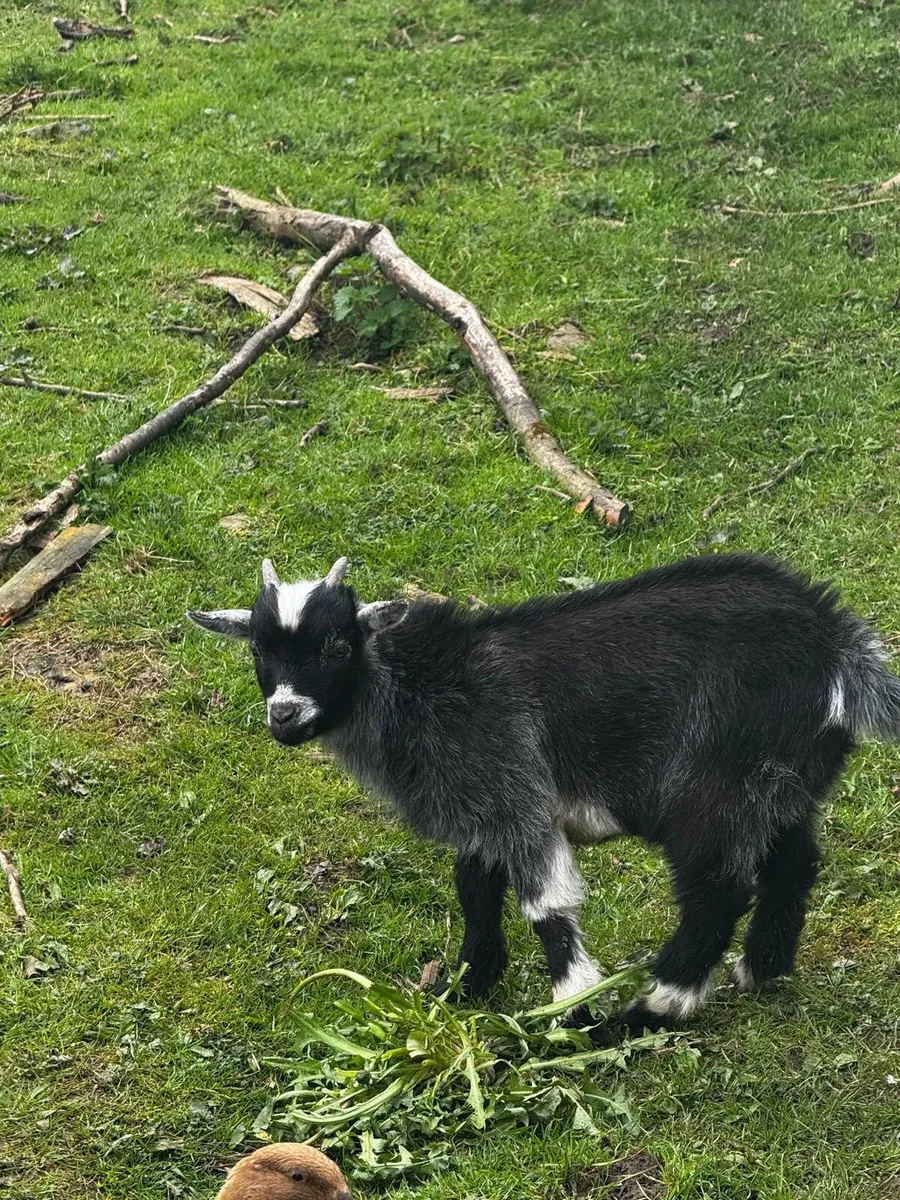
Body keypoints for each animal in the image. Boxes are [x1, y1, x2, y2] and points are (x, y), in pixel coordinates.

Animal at [187, 553, 900, 1034]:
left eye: (337, 643)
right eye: (258, 650)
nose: (285, 716)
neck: (418, 688)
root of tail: (839, 646)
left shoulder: (514, 792)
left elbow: (546, 907)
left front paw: (572, 1008)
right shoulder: (481, 809)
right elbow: (475, 891)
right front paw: (468, 987)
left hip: (718, 786)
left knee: (717, 890)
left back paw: (651, 1009)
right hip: (785, 781)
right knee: (796, 862)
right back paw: (762, 969)